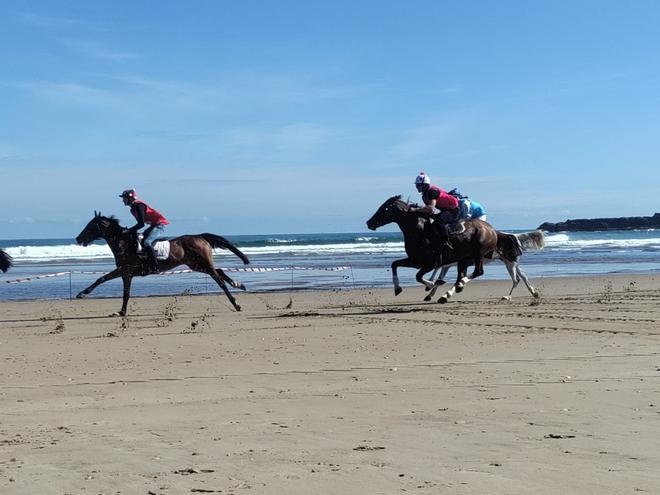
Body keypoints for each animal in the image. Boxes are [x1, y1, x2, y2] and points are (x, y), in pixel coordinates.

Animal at [75, 212, 249, 316]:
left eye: (91, 225)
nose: (78, 238)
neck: (124, 244)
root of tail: (200, 236)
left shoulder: (125, 270)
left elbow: (103, 280)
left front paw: (81, 294)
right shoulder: (126, 273)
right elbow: (121, 290)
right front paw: (121, 312)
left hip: (202, 264)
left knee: (219, 280)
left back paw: (236, 303)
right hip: (196, 265)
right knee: (220, 271)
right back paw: (238, 284)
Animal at [366, 195, 519, 303]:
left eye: (385, 208)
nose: (369, 222)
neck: (420, 231)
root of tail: (492, 230)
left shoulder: (431, 263)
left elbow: (419, 276)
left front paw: (432, 283)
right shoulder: (415, 261)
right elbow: (394, 264)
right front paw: (398, 288)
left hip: (478, 254)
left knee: (477, 272)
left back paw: (458, 285)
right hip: (464, 259)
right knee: (462, 275)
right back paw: (449, 292)